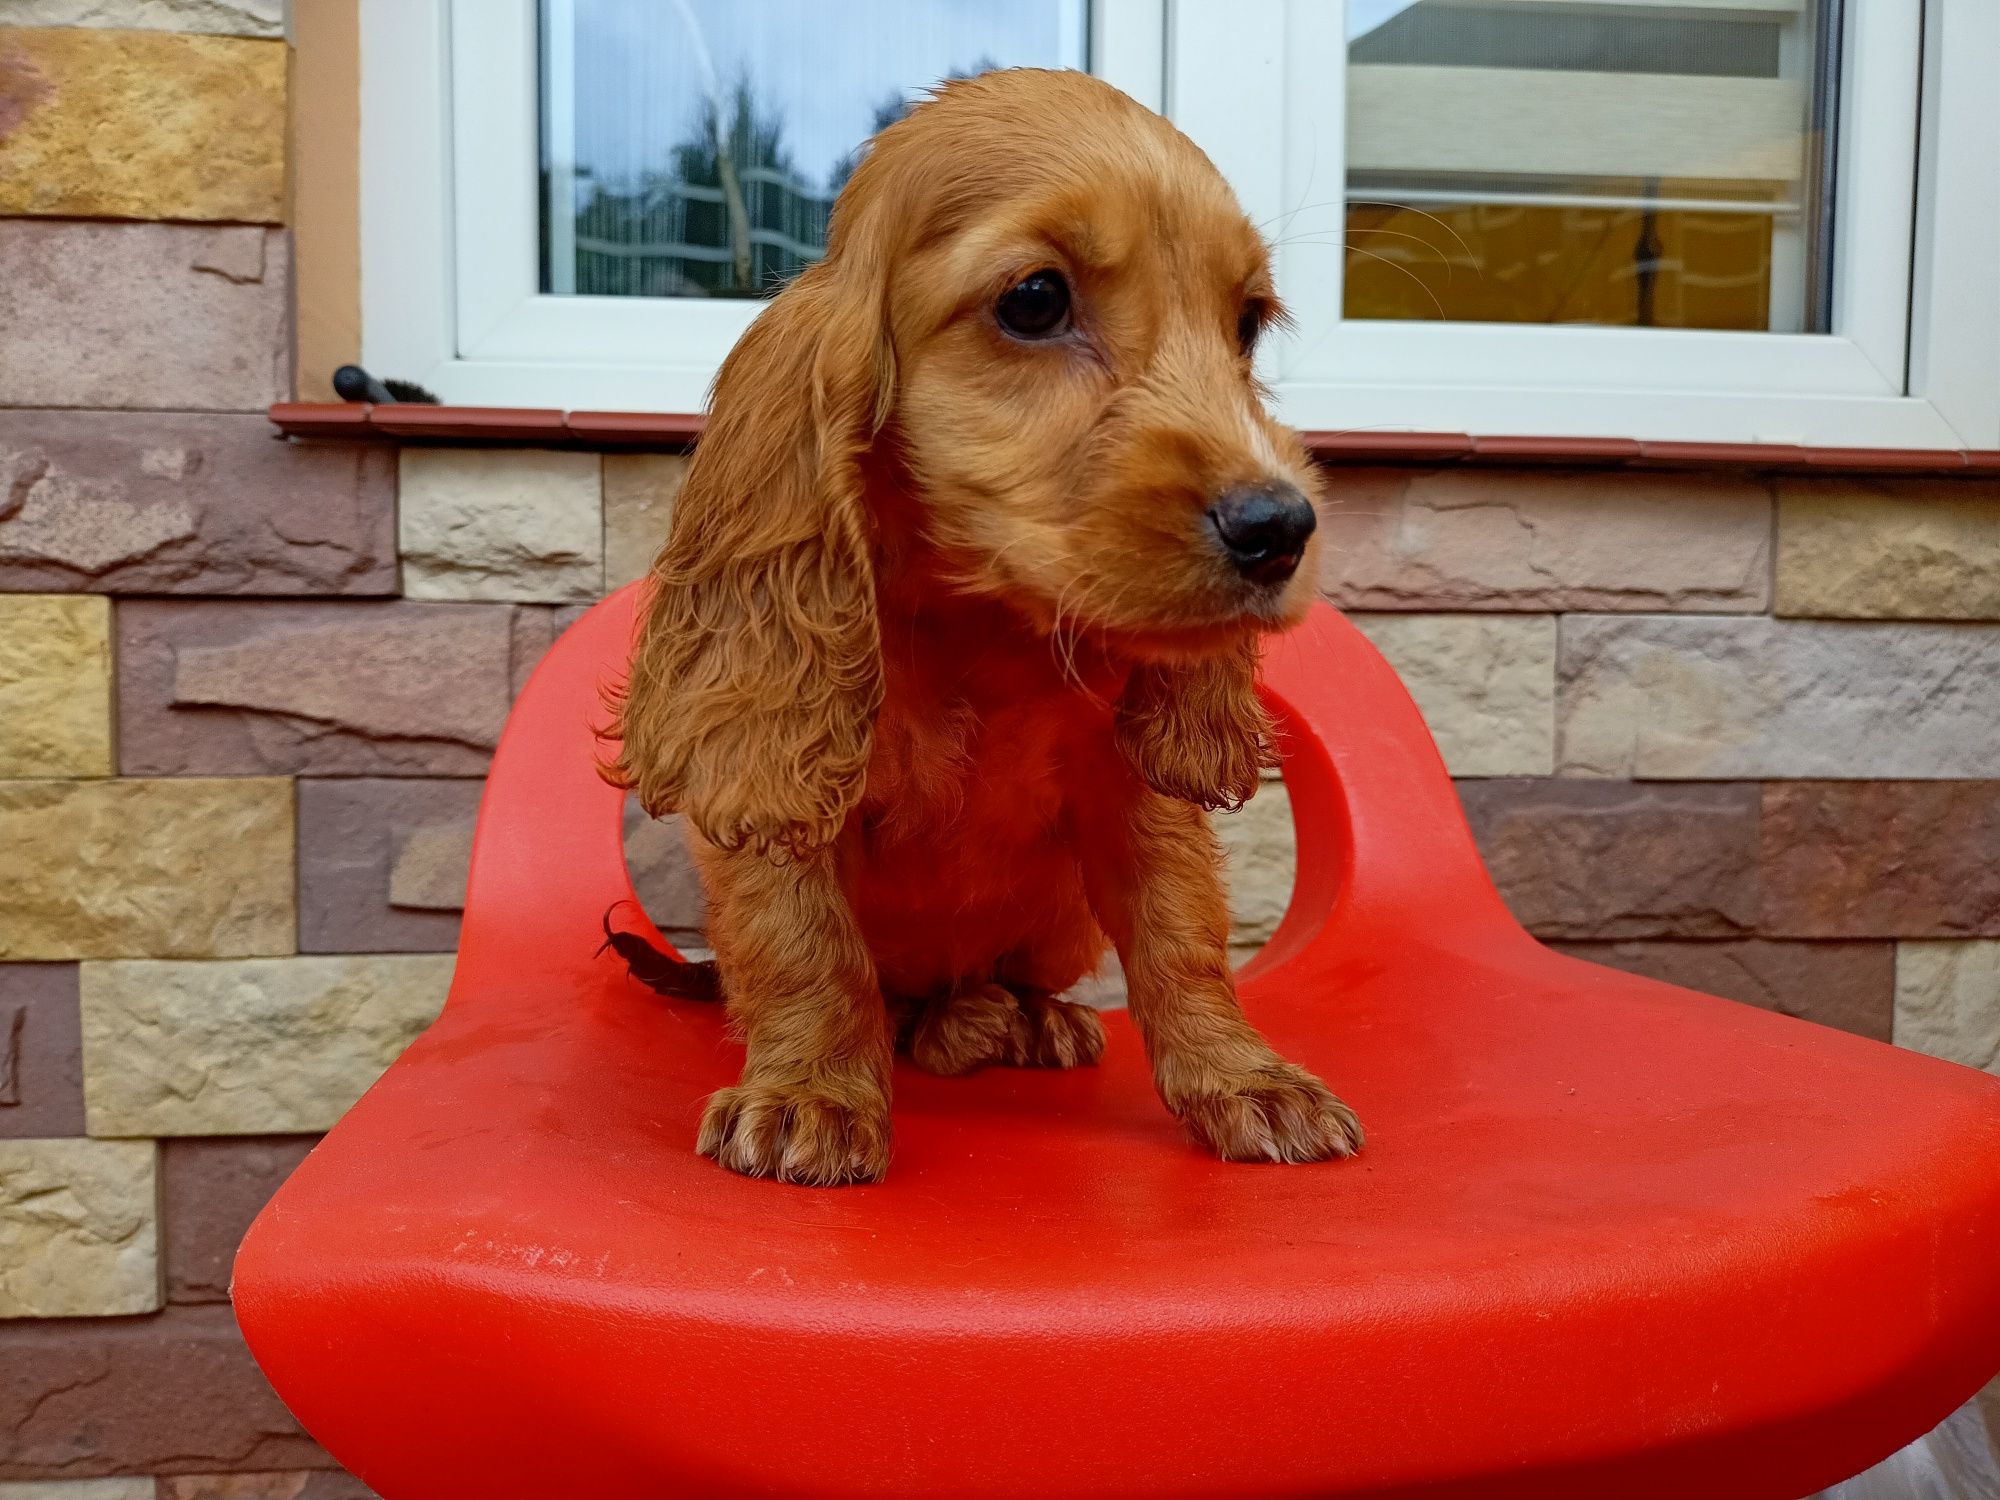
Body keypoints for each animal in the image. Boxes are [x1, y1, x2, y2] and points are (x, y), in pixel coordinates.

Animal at [608, 67, 1360, 1184]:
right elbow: (805, 945)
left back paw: (1008, 1017)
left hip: (1057, 918)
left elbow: (1182, 938)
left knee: (998, 981)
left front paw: (1245, 1080)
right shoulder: (783, 788)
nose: (1280, 529)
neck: (985, 625)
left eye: (1247, 325)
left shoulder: (1130, 799)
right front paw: (808, 1095)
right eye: (1034, 300)